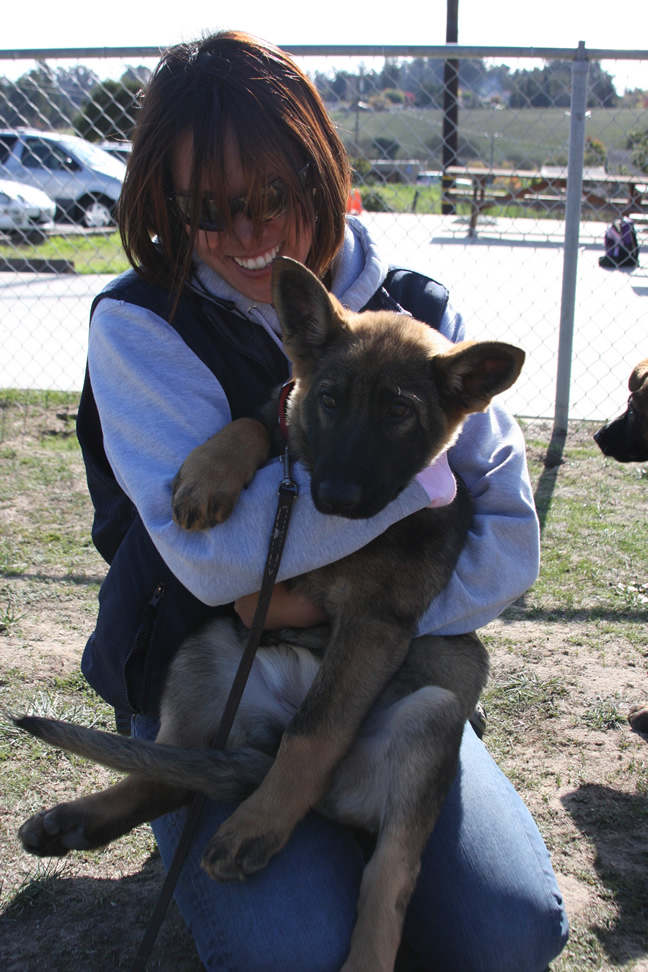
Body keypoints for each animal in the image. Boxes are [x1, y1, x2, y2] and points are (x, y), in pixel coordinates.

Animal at [13, 258, 520, 972]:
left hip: (434, 708)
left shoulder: (374, 623)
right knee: (170, 772)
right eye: (329, 399)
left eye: (400, 412)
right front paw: (207, 474)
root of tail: (264, 741)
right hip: (203, 653)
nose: (334, 497)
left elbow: (319, 728)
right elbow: (258, 420)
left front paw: (260, 824)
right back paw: (74, 821)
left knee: (390, 870)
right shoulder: (284, 420)